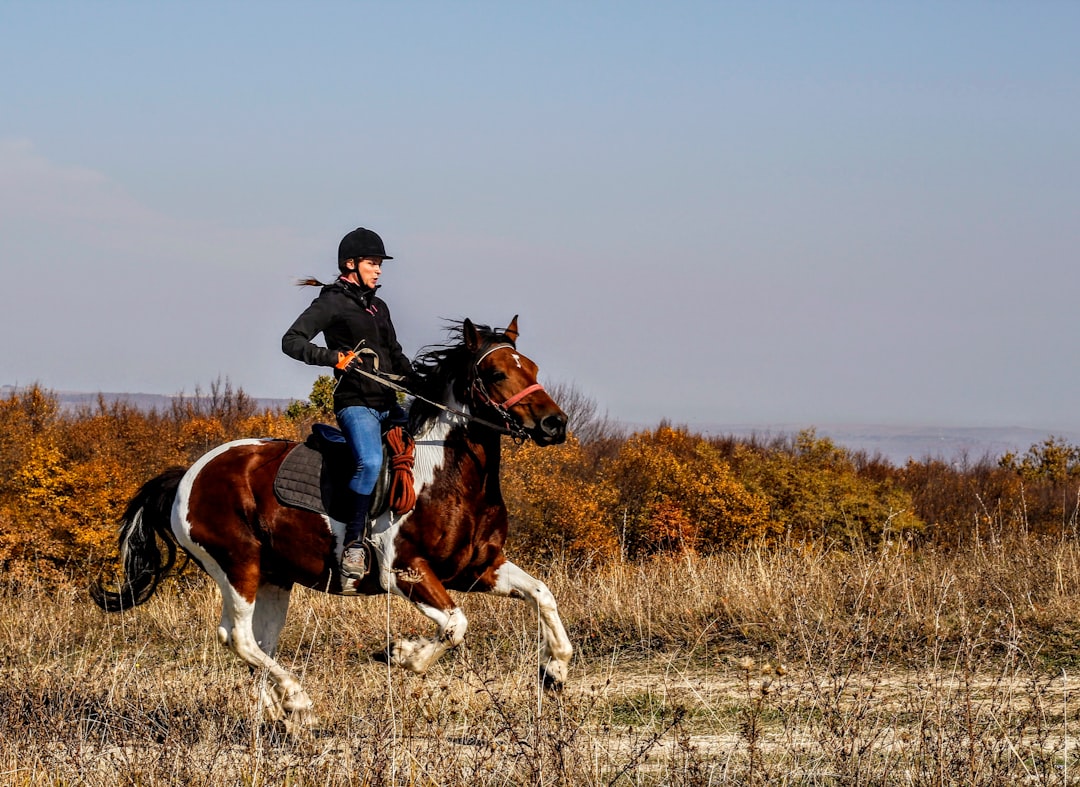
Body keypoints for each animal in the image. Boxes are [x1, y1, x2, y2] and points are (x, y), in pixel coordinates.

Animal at [90, 313, 574, 725]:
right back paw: (298, 702)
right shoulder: (407, 571)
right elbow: (456, 626)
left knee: (258, 643)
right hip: (237, 565)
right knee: (239, 637)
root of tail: (189, 474)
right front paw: (401, 654)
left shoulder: (478, 568)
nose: (555, 424)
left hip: (274, 577)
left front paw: (554, 671)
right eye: (495, 373)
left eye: (531, 367)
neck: (446, 474)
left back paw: (278, 713)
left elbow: (542, 594)